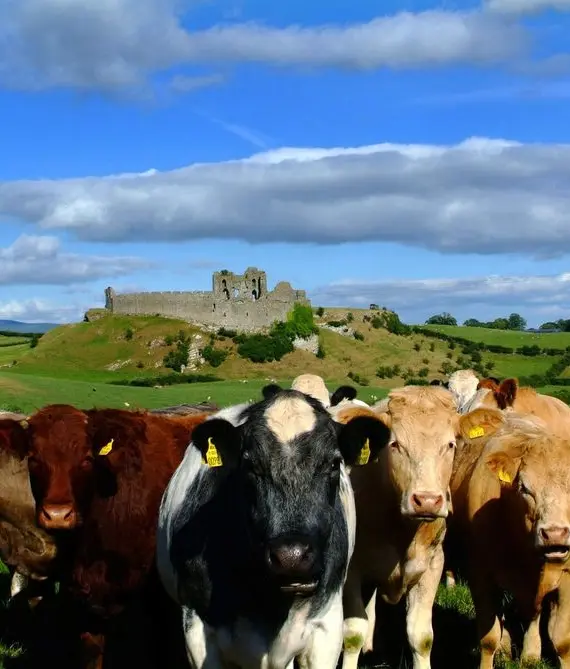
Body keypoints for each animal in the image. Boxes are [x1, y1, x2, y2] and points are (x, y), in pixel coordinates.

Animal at [339, 385, 490, 669]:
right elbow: (352, 635)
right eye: (395, 444)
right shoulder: (351, 571)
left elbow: (421, 637)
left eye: (450, 444)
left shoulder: (431, 566)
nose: (427, 501)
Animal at [449, 407, 570, 668]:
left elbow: (563, 641)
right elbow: (489, 638)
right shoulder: (480, 575)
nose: (555, 533)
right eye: (523, 488)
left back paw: (530, 655)